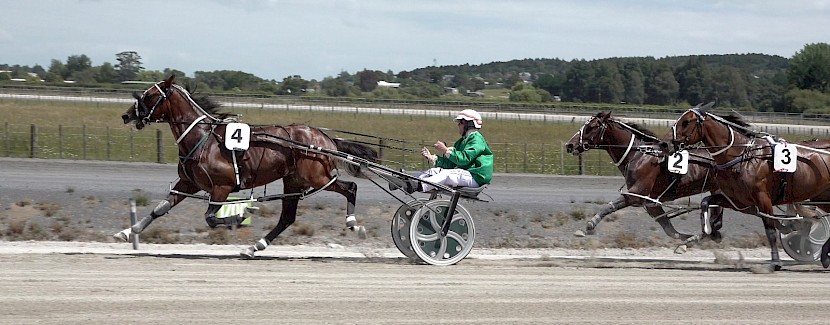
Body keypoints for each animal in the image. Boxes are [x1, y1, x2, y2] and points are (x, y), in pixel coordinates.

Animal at [115, 74, 378, 256]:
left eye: (149, 95)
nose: (126, 115)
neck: (204, 138)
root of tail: (326, 138)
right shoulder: (188, 183)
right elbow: (160, 208)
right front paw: (128, 231)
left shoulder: (222, 186)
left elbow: (211, 218)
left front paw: (241, 216)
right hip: (293, 179)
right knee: (287, 218)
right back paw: (255, 247)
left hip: (318, 177)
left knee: (350, 188)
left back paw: (354, 225)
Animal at [564, 112, 720, 239]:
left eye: (591, 127)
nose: (570, 145)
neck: (638, 155)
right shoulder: (650, 202)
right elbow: (669, 229)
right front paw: (690, 239)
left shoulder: (637, 194)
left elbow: (610, 206)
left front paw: (589, 225)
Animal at [668, 103, 830, 268]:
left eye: (686, 122)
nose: (668, 142)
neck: (743, 157)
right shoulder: (738, 200)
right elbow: (705, 203)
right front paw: (702, 234)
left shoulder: (762, 198)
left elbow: (770, 230)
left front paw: (775, 261)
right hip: (822, 196)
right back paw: (825, 256)